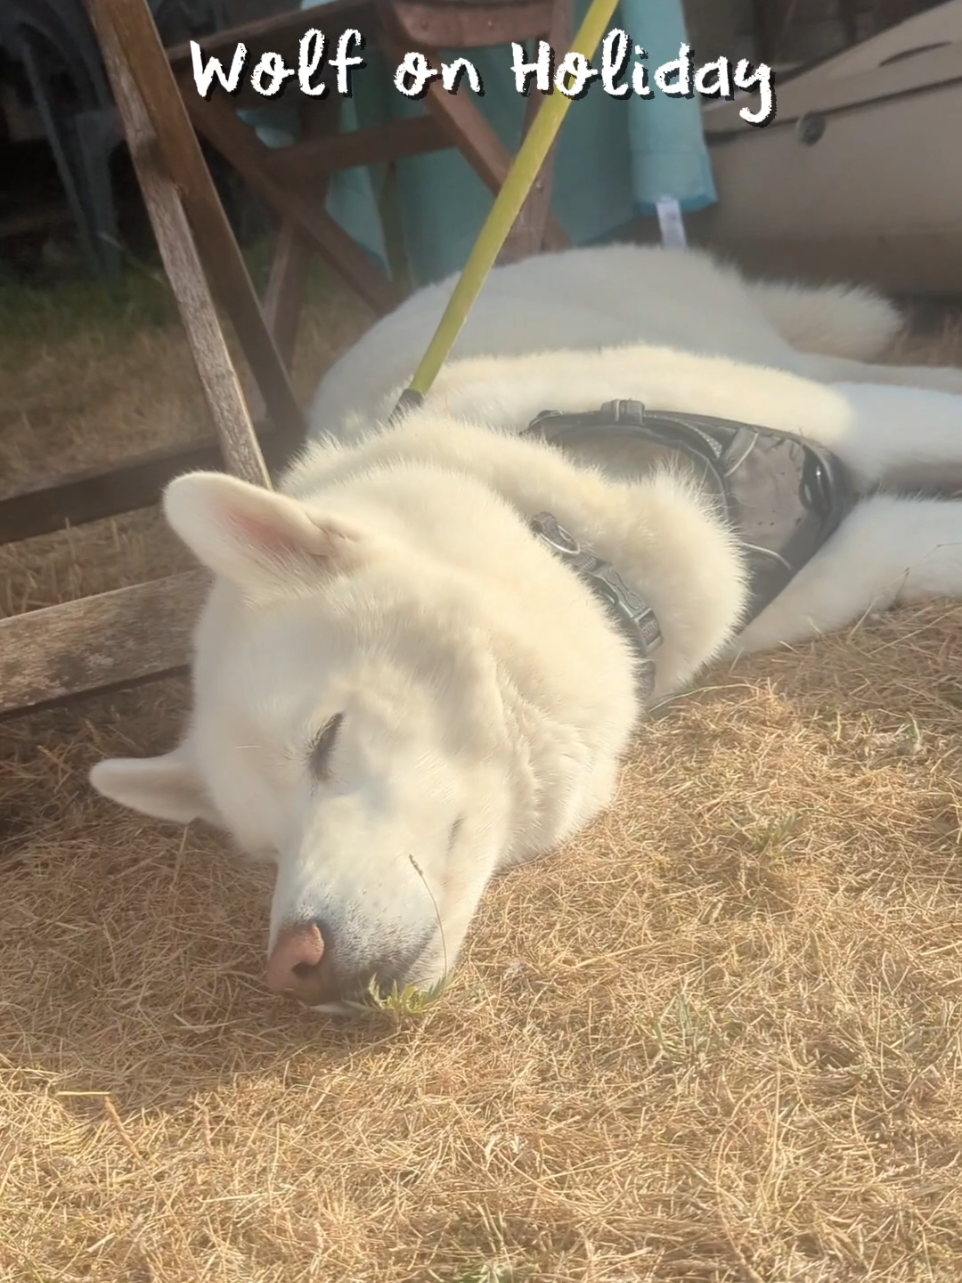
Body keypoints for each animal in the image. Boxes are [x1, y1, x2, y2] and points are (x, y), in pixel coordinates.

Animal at [90, 244, 962, 1012]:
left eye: (326, 741)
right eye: (266, 850)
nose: (292, 965)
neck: (573, 539)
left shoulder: (854, 426)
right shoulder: (830, 566)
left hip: (773, 359)